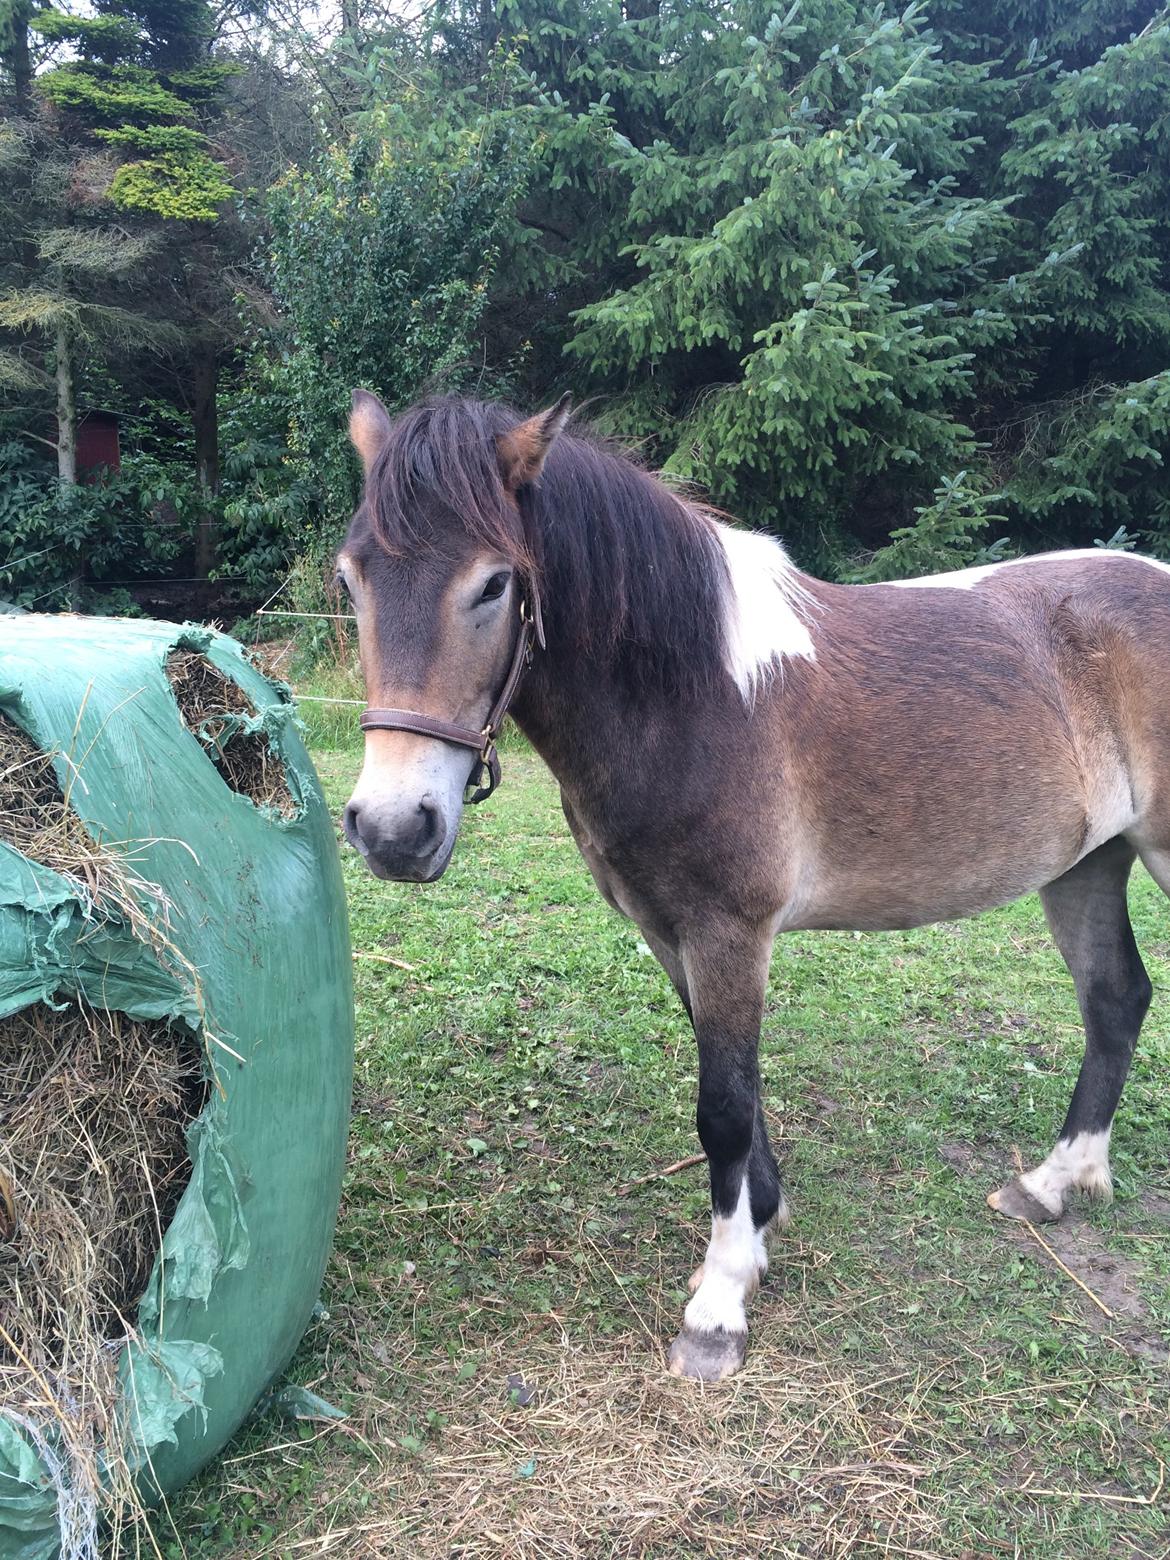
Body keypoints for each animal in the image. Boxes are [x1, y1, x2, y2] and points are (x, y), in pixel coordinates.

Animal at [338, 386, 1170, 1379]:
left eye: (494, 584)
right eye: (350, 582)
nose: (395, 830)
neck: (692, 694)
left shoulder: (729, 930)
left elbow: (725, 1110)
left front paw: (720, 1304)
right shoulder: (670, 931)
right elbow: (734, 1088)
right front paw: (760, 1228)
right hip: (1087, 864)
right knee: (1116, 998)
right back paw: (1052, 1184)